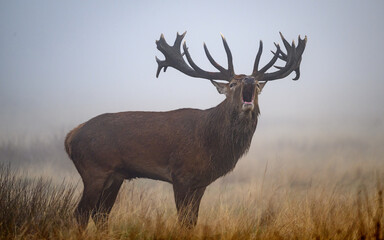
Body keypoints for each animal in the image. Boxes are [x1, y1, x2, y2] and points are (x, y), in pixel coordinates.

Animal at [64, 31, 308, 229]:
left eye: (257, 84)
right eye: (232, 84)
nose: (249, 79)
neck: (212, 144)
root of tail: (71, 136)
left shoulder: (200, 182)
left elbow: (192, 221)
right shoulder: (180, 174)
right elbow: (183, 221)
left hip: (115, 176)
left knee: (100, 215)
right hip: (94, 169)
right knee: (80, 214)